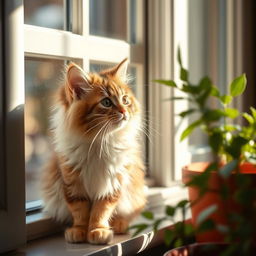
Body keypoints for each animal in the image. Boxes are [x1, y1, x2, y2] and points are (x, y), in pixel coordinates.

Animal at [41, 59, 147, 245]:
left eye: (125, 100)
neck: (98, 142)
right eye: (106, 102)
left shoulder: (112, 184)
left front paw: (98, 231)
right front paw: (79, 231)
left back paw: (120, 224)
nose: (124, 112)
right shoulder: (72, 183)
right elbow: (80, 211)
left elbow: (101, 211)